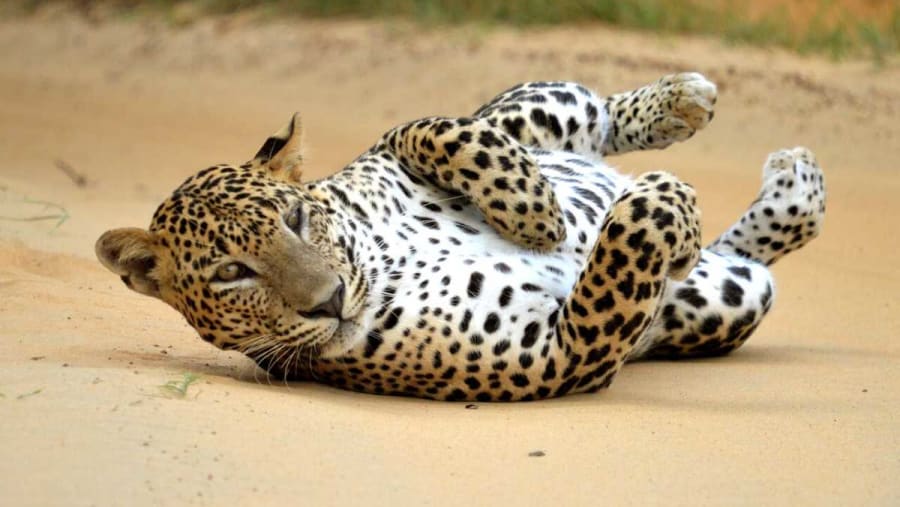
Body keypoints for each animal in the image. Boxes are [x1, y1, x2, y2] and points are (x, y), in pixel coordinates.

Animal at [96, 72, 826, 401]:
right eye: (230, 274)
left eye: (296, 220)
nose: (328, 300)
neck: (381, 261)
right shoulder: (562, 356)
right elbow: (627, 244)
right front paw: (659, 199)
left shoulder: (394, 148)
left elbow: (428, 127)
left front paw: (540, 217)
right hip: (728, 297)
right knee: (737, 255)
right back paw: (787, 190)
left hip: (537, 110)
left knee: (574, 112)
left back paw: (682, 104)